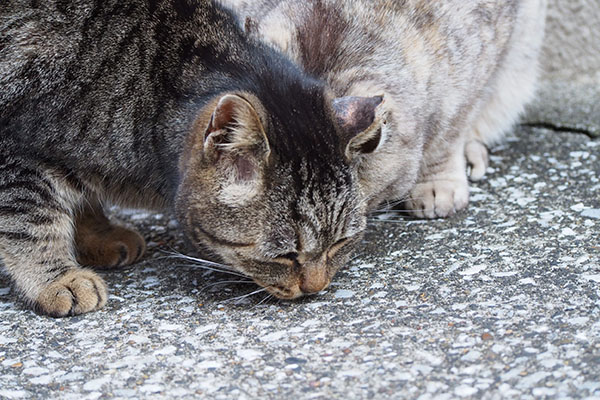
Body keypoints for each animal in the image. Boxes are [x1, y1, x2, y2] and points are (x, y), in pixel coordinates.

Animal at [0, 1, 382, 318]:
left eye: (341, 244)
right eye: (285, 256)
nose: (316, 289)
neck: (149, 95)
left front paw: (97, 234)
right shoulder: (16, 155)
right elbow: (30, 222)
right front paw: (56, 280)